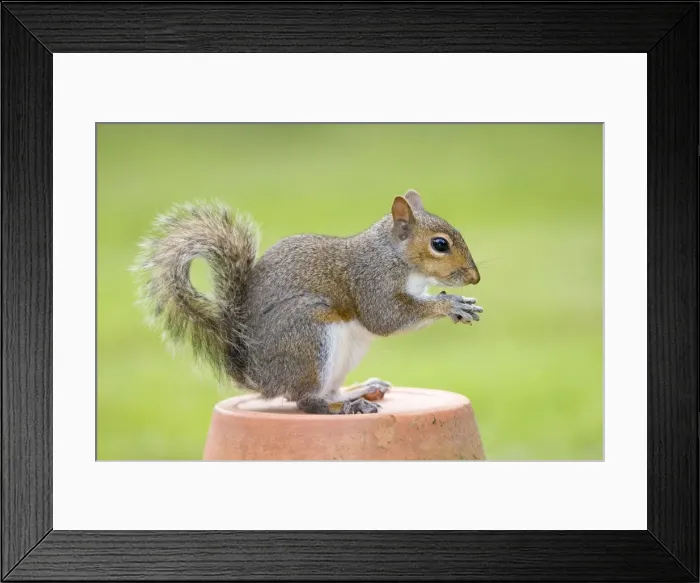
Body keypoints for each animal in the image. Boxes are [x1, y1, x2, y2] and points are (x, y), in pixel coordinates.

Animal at [133, 189, 483, 415]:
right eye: (440, 244)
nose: (475, 277)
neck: (394, 256)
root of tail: (261, 378)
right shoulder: (372, 281)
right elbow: (386, 318)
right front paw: (451, 304)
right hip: (310, 335)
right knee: (304, 400)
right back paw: (345, 406)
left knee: (325, 390)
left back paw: (357, 391)